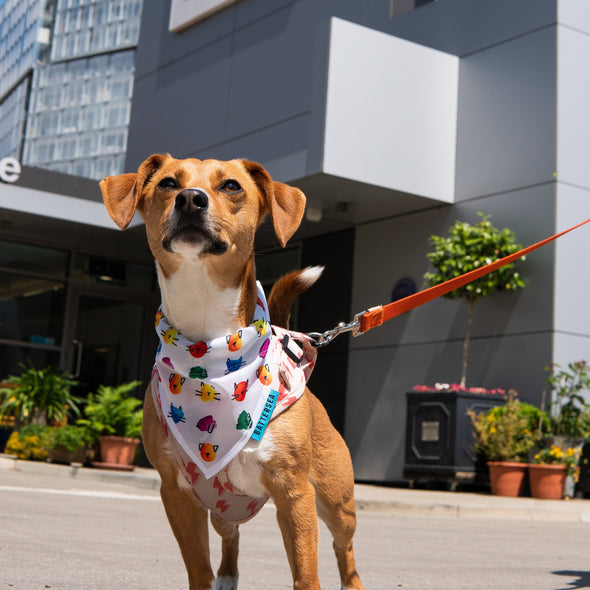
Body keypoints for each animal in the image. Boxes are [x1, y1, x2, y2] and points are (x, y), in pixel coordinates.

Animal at [99, 155, 364, 588]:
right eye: (168, 183)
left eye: (231, 186)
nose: (191, 199)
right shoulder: (176, 495)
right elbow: (199, 569)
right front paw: (211, 577)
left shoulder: (295, 495)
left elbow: (306, 574)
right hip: (222, 509)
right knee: (231, 537)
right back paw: (228, 576)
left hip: (336, 502)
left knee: (345, 551)